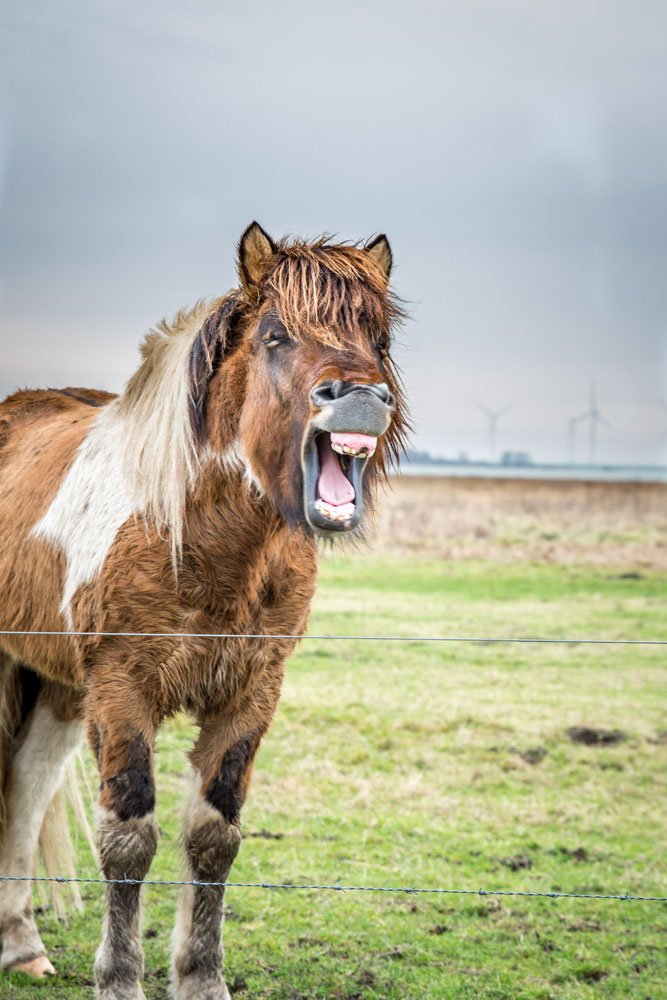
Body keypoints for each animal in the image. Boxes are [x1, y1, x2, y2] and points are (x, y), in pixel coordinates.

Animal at [0, 225, 408, 1000]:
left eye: (377, 337)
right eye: (276, 335)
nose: (360, 399)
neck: (200, 537)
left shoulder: (250, 693)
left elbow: (214, 838)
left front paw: (200, 978)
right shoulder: (122, 689)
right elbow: (129, 839)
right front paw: (119, 980)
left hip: (59, 686)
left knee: (26, 788)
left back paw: (21, 946)